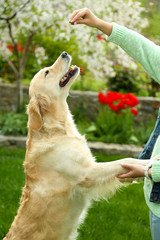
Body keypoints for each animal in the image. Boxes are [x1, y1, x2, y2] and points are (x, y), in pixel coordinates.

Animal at [3, 51, 149, 239]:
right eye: (47, 72)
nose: (64, 53)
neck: (58, 128)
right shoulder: (87, 173)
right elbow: (124, 161)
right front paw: (150, 163)